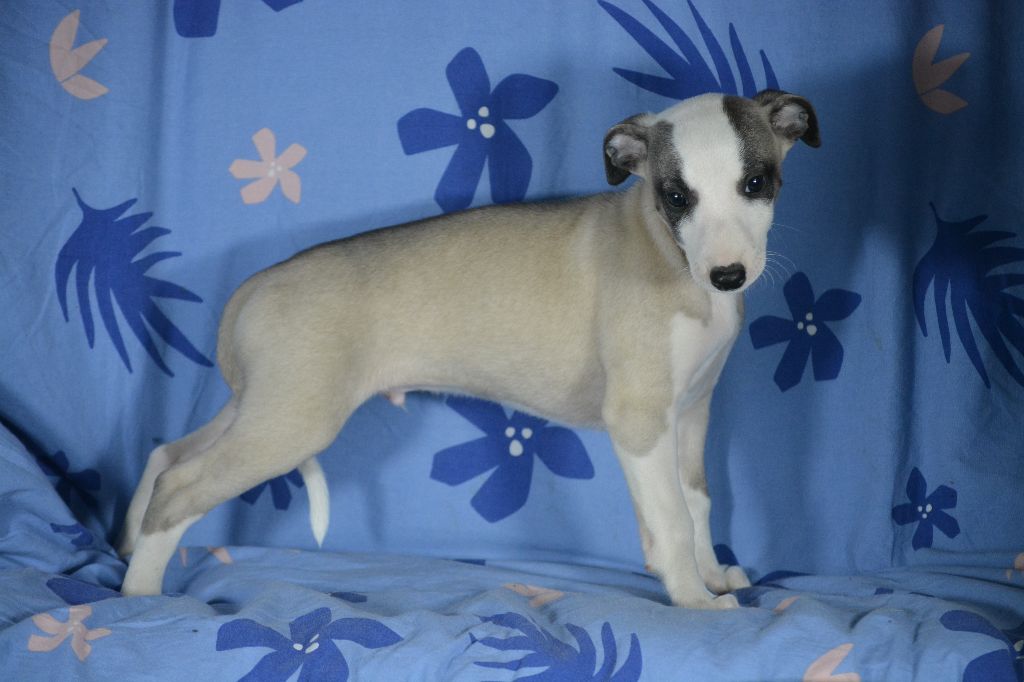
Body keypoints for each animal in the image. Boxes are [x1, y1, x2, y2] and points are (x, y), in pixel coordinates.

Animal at [120, 89, 819, 608]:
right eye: (676, 197)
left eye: (757, 182)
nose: (727, 275)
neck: (666, 253)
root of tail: (255, 284)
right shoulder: (641, 419)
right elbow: (671, 518)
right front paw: (695, 600)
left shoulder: (693, 411)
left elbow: (698, 501)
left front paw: (714, 573)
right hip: (291, 421)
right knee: (183, 484)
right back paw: (141, 592)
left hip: (262, 405)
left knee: (167, 454)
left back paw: (127, 543)